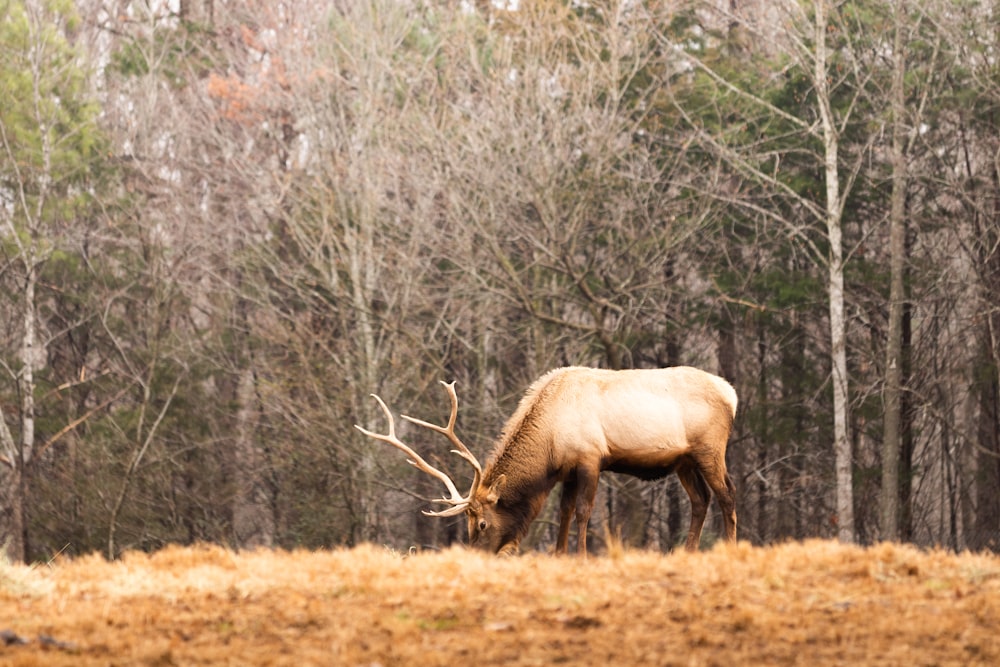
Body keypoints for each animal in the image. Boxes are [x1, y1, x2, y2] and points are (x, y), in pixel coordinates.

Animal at [356, 368, 740, 556]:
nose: (477, 556)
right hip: (684, 460)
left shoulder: (590, 458)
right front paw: (558, 554)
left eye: (481, 524)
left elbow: (583, 511)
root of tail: (732, 393)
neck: (550, 444)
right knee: (701, 500)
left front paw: (580, 556)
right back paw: (687, 552)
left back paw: (730, 549)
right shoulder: (567, 471)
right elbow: (564, 512)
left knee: (727, 495)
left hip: (710, 449)